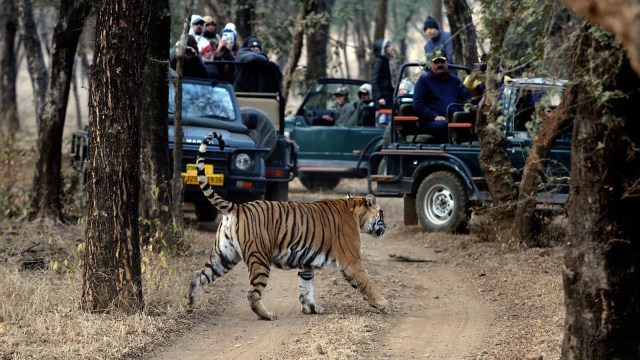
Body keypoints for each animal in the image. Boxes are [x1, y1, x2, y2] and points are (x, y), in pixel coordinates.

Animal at [188, 131, 388, 320]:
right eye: (382, 214)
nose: (385, 228)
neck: (355, 211)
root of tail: (238, 207)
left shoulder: (306, 263)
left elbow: (306, 287)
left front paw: (312, 308)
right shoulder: (351, 260)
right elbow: (366, 282)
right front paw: (382, 304)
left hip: (224, 255)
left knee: (199, 275)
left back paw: (190, 304)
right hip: (259, 257)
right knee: (252, 292)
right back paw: (267, 315)